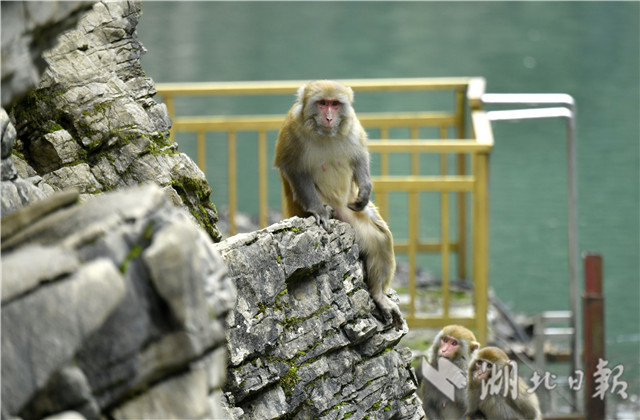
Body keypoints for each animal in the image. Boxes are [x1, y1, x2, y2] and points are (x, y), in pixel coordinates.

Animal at [272, 79, 402, 332]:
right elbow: (294, 169)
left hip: (351, 210)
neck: (325, 134)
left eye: (335, 104)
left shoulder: (353, 127)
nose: (329, 117)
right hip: (341, 214)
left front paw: (365, 188)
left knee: (380, 237)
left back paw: (379, 295)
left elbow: (360, 157)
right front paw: (318, 210)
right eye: (322, 103)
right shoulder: (292, 131)